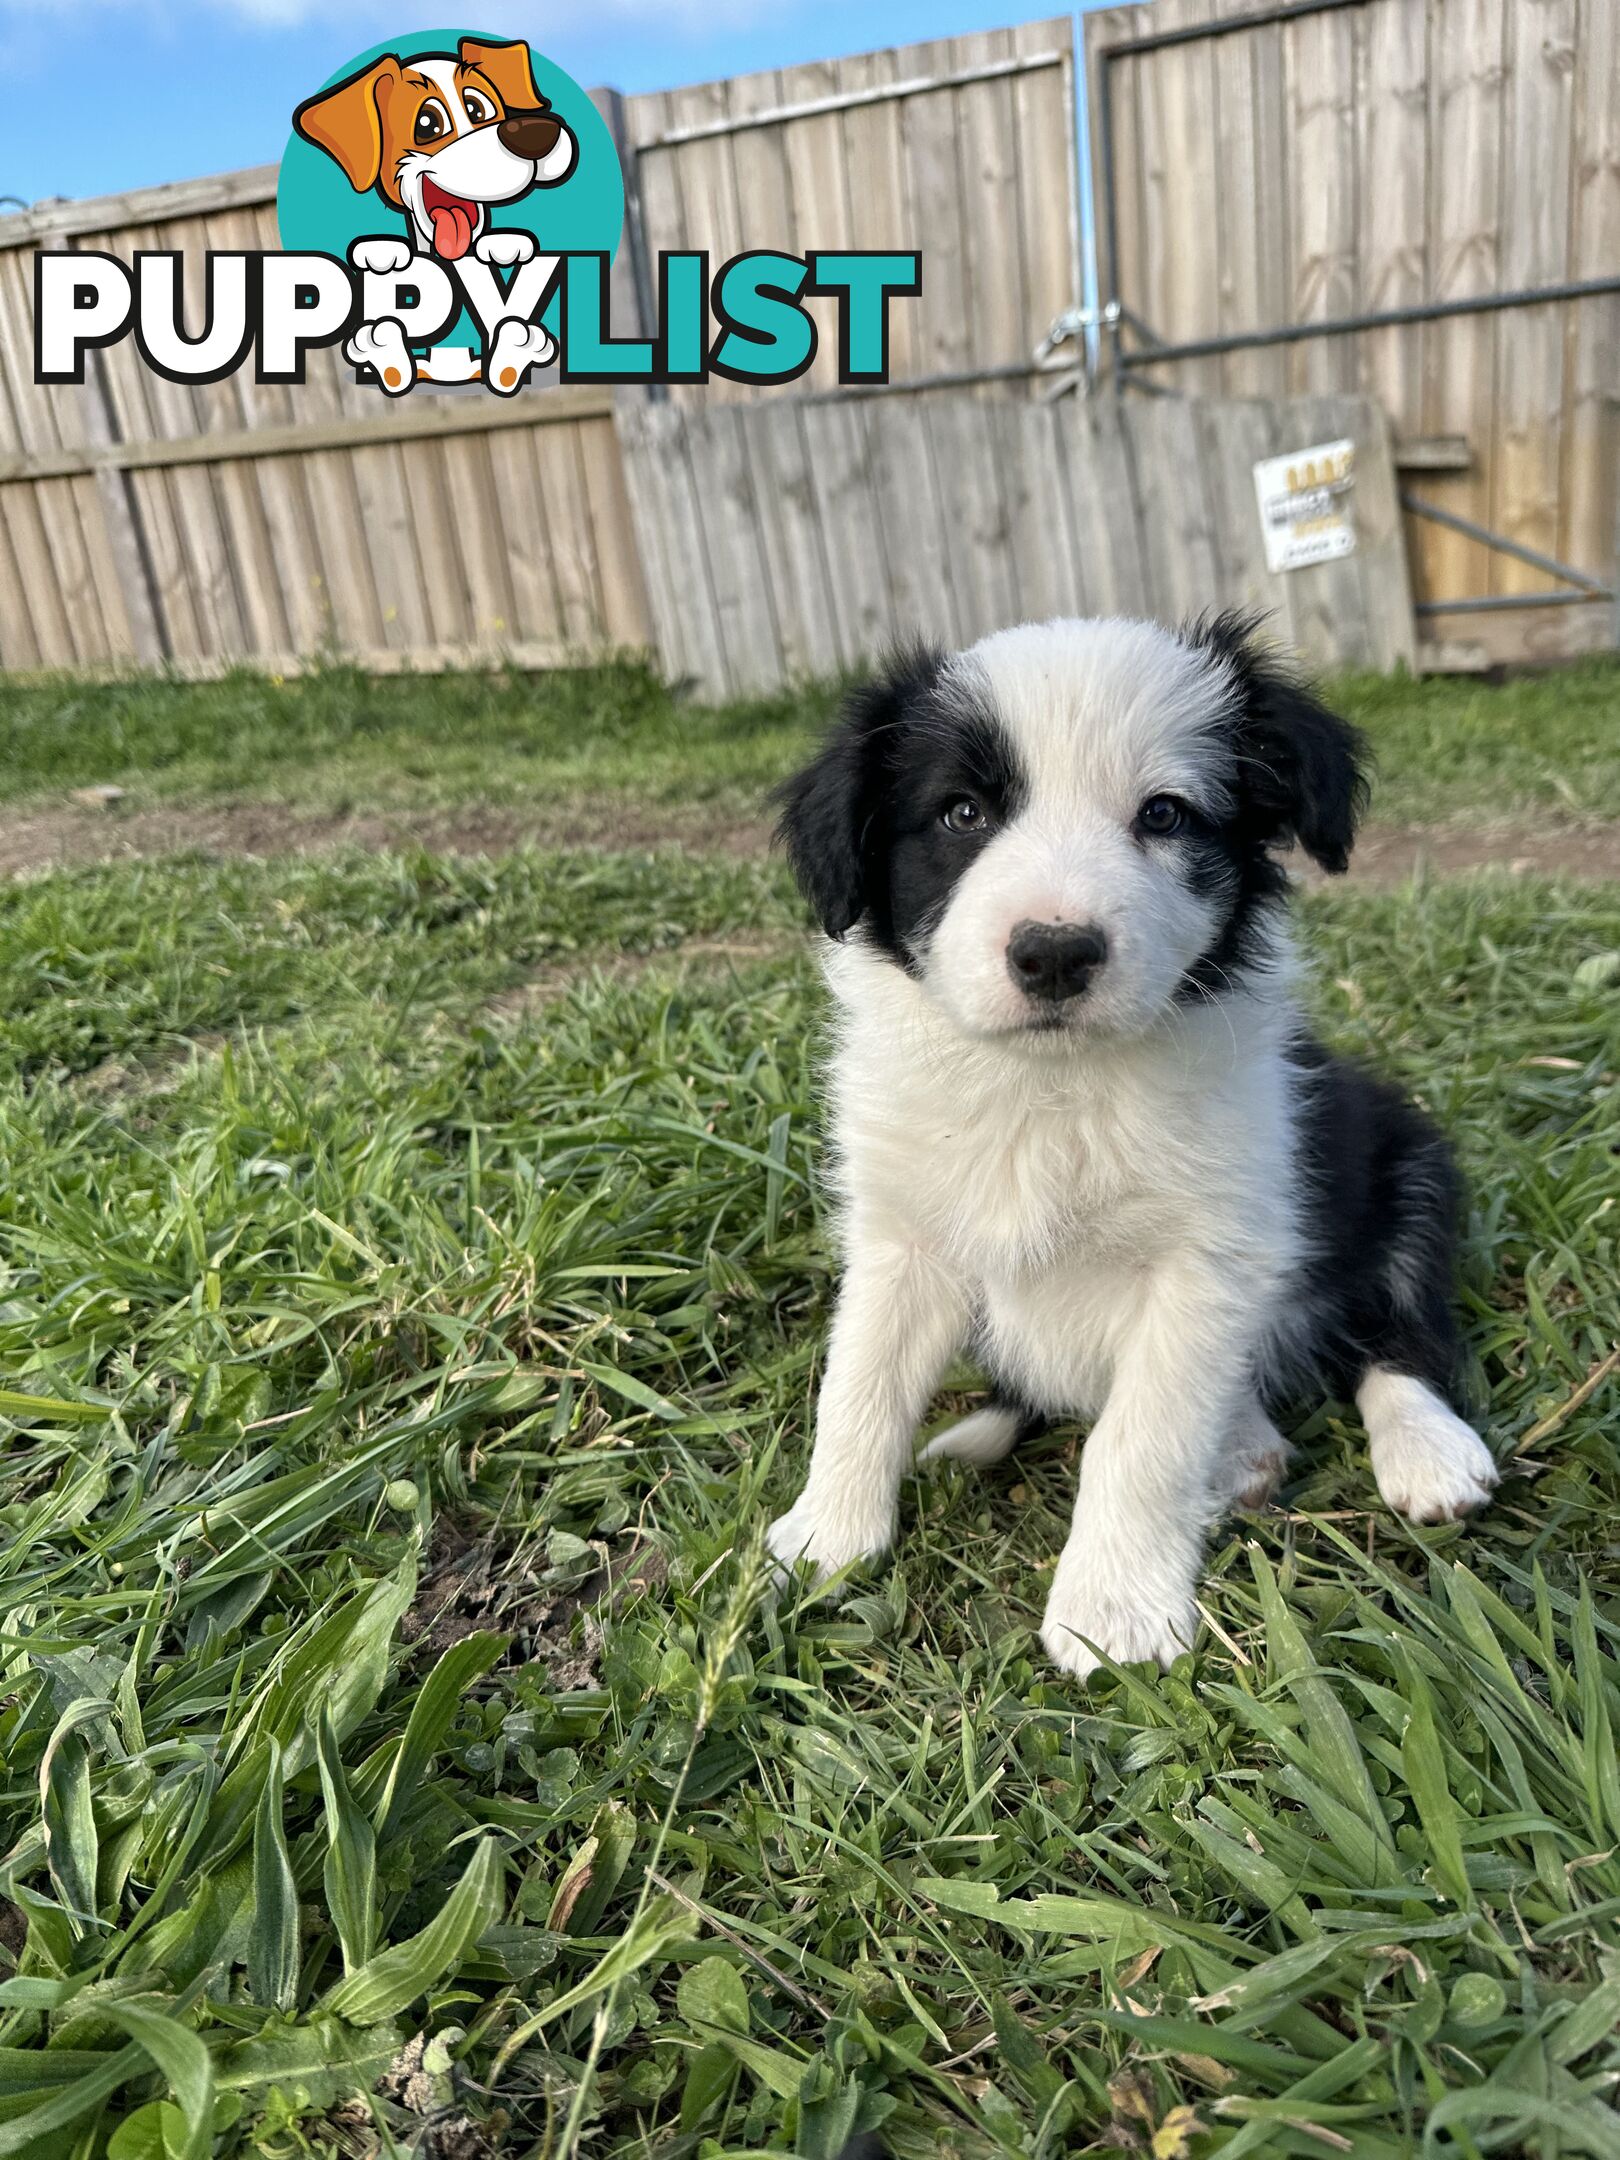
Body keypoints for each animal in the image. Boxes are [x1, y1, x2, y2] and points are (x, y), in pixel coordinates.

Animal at [768, 617, 1503, 1676]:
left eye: (1164, 815)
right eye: (960, 813)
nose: (1054, 953)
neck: (1054, 1086)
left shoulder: (1209, 1261)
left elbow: (1142, 1437)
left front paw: (1112, 1611)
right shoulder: (902, 1234)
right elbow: (859, 1385)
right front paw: (826, 1539)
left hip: (1405, 1163)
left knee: (1400, 1331)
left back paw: (1422, 1450)